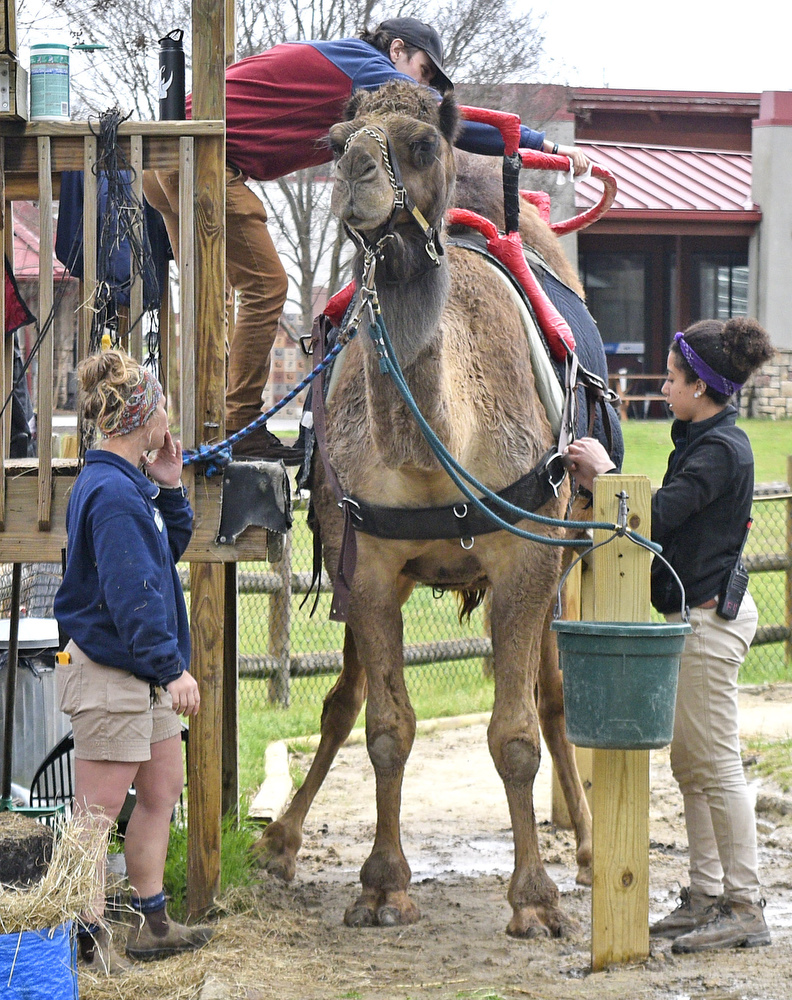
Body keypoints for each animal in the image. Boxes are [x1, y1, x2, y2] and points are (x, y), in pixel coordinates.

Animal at [253, 80, 593, 938]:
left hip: (565, 553)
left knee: (553, 698)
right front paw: (381, 886)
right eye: (333, 141)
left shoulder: (529, 557)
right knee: (344, 702)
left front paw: (534, 900)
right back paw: (280, 842)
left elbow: (515, 733)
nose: (356, 176)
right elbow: (385, 727)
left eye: (421, 143)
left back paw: (585, 845)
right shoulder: (369, 565)